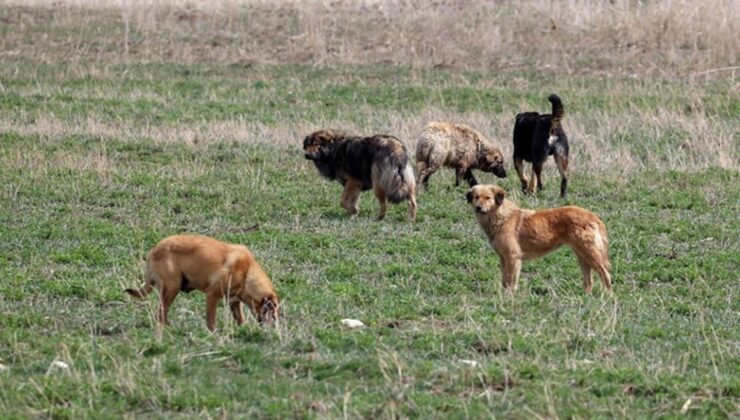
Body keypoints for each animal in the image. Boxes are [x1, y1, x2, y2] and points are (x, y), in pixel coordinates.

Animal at [125, 235, 278, 330]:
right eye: (273, 310)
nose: (276, 326)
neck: (247, 272)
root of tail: (153, 251)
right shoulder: (212, 296)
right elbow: (211, 321)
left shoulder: (234, 302)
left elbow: (240, 319)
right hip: (172, 287)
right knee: (161, 313)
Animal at [468, 185, 612, 294]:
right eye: (476, 197)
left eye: (488, 198)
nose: (478, 207)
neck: (501, 216)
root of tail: (593, 217)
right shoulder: (503, 258)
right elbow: (504, 280)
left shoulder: (513, 257)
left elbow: (511, 281)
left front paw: (510, 297)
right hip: (582, 256)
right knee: (589, 280)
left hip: (590, 254)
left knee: (606, 275)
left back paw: (607, 296)